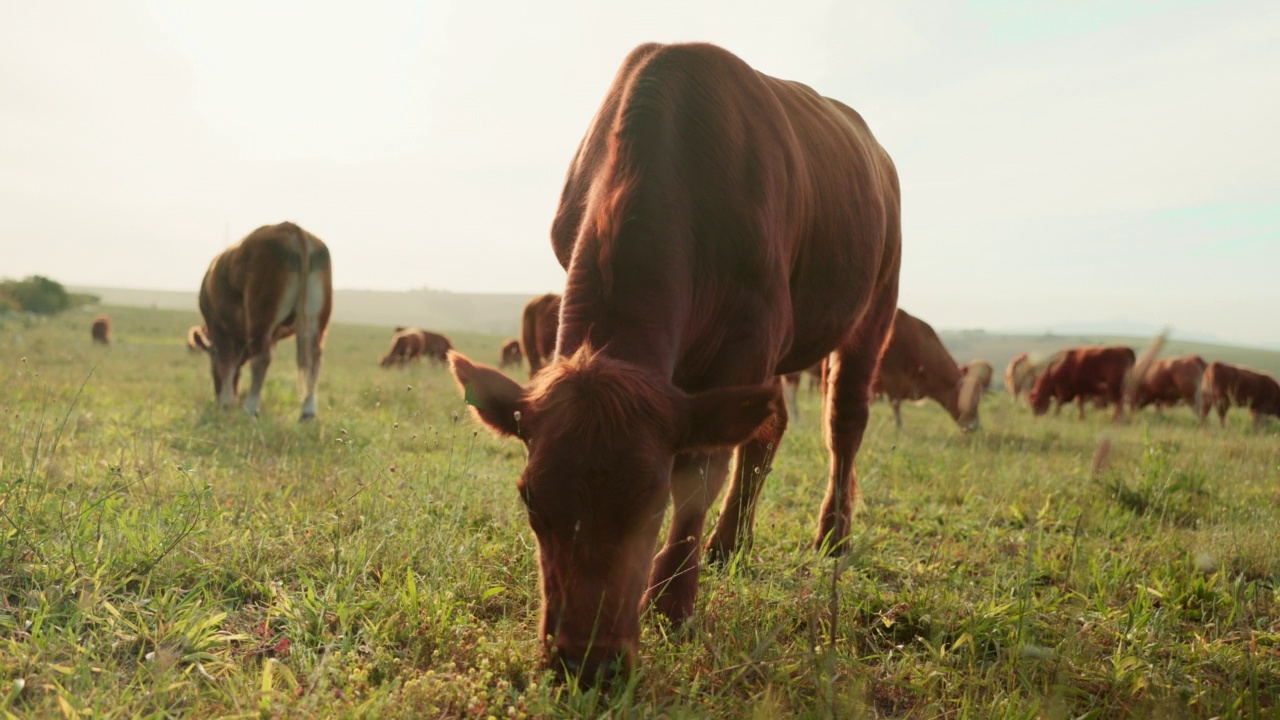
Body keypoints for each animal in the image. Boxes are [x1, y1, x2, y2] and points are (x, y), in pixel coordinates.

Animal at [197, 221, 332, 417]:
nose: (217, 391)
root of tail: (291, 228)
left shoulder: (217, 324)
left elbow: (226, 362)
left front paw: (226, 401)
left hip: (261, 316)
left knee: (261, 358)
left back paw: (251, 407)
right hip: (316, 319)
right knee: (314, 357)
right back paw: (308, 411)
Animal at [448, 41, 901, 681]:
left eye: (652, 500)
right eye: (530, 498)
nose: (586, 661)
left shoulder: (751, 335)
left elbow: (701, 472)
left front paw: (671, 603)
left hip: (874, 303)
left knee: (844, 421)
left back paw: (832, 535)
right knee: (769, 428)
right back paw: (729, 544)